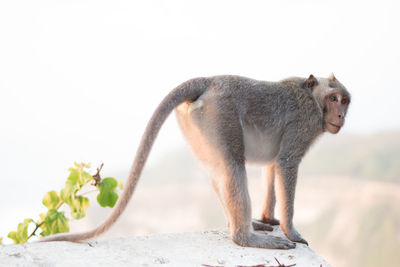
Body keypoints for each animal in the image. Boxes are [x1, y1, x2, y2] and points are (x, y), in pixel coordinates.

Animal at [39, 73, 350, 251]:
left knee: (218, 171)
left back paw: (241, 225)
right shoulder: (304, 123)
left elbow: (273, 165)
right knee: (233, 165)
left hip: (198, 123)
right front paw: (291, 231)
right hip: (220, 113)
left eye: (345, 101)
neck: (313, 98)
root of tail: (209, 81)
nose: (341, 116)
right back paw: (244, 237)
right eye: (334, 98)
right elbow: (286, 163)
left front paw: (268, 218)